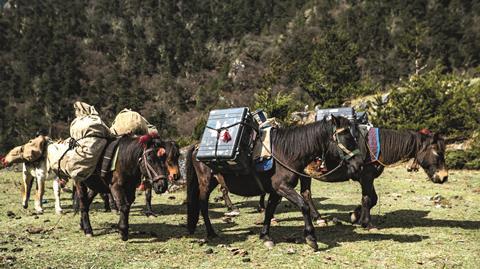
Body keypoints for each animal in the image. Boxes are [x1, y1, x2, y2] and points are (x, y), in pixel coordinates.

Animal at [186, 115, 362, 249]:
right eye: (347, 137)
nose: (358, 165)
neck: (286, 152)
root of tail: (196, 146)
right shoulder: (282, 187)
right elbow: (303, 205)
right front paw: (311, 237)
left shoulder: (276, 191)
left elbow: (270, 210)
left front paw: (265, 236)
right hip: (206, 182)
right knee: (203, 204)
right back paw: (211, 231)